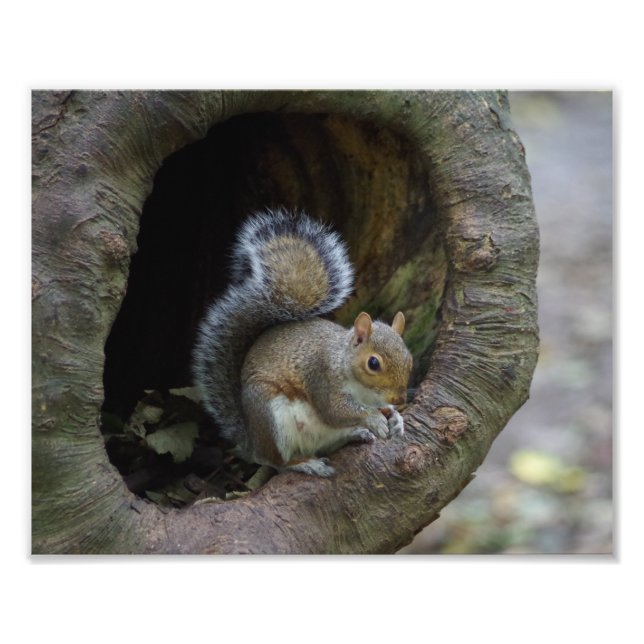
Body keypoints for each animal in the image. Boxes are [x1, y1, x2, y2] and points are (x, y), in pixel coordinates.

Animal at [192, 208, 413, 477]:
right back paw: (307, 463)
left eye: (409, 359)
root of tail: (252, 440)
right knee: (275, 461)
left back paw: (356, 434)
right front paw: (373, 419)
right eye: (373, 363)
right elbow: (335, 410)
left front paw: (395, 418)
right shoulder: (322, 377)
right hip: (271, 417)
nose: (400, 399)